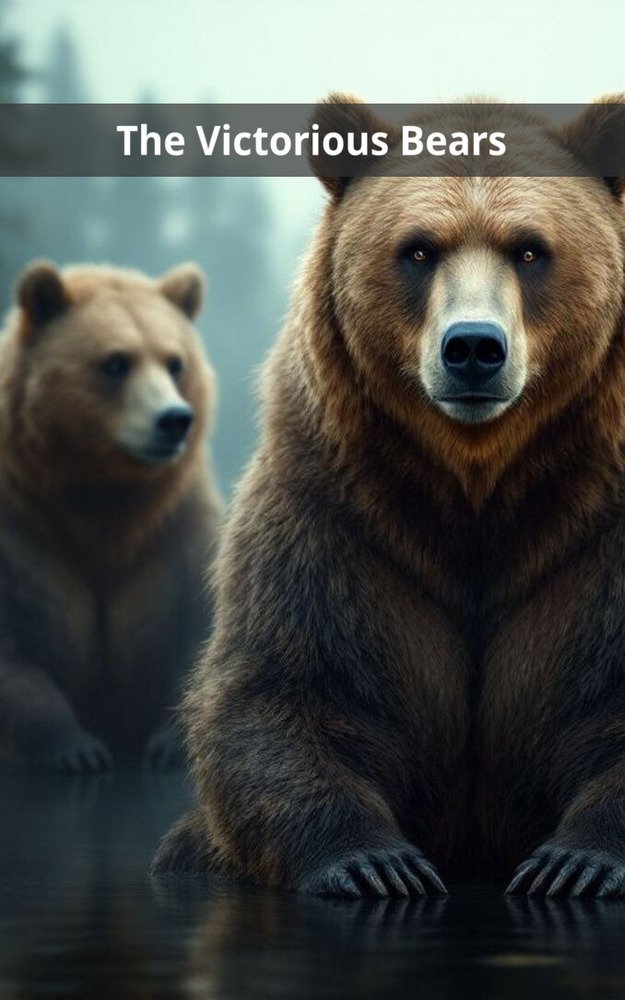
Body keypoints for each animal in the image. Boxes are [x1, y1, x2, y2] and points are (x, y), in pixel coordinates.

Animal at [0, 261, 221, 771]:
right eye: (116, 362)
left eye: (175, 362)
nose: (174, 419)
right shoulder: (20, 528)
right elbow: (17, 645)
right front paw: (75, 750)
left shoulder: (174, 528)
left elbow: (190, 624)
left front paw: (170, 743)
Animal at [153, 95, 625, 896]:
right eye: (419, 250)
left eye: (530, 250)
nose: (473, 348)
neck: (477, 484)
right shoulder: (337, 513)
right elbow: (290, 685)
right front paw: (375, 864)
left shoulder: (596, 529)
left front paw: (574, 863)